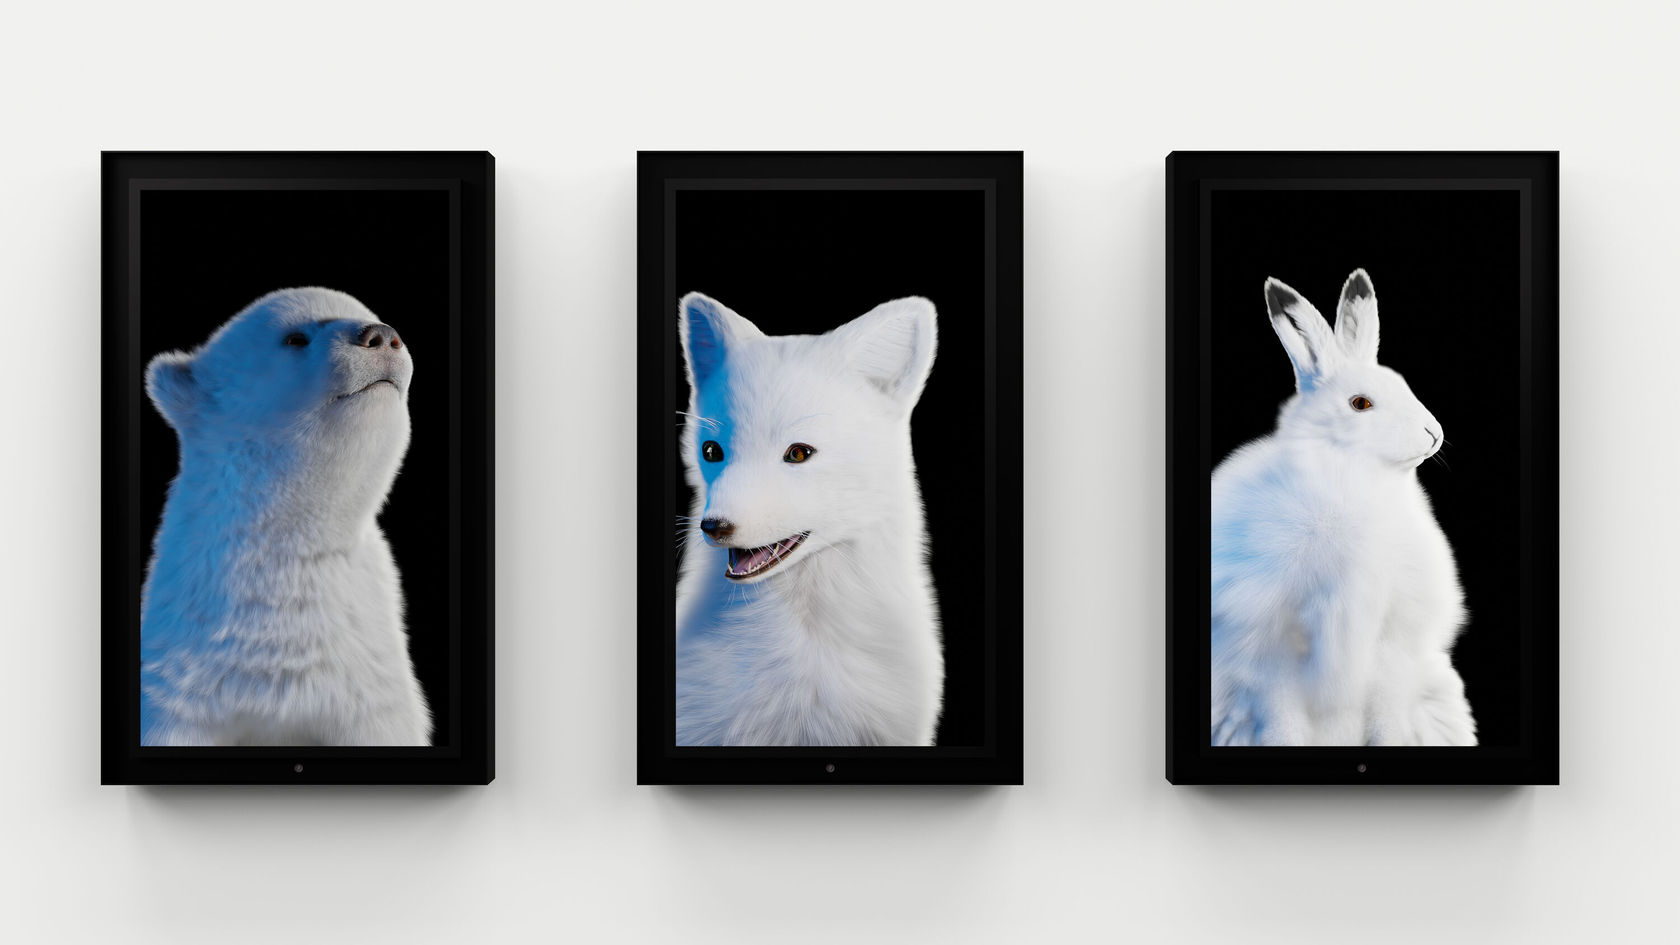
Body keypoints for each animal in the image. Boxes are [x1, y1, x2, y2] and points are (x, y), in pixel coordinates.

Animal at [1209, 269, 1477, 747]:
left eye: (1405, 386)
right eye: (1360, 404)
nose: (1434, 433)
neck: (1354, 481)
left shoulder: (1391, 642)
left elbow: (1387, 713)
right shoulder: (1268, 646)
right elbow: (1282, 715)